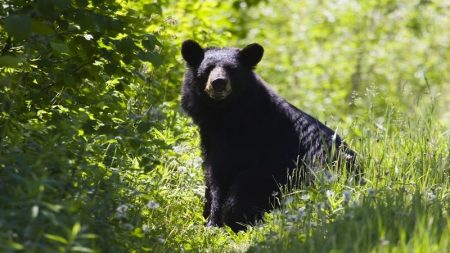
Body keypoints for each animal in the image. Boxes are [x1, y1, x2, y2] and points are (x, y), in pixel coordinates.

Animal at [179, 39, 356, 231]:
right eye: (207, 69)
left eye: (232, 70)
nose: (218, 82)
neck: (226, 116)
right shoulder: (211, 139)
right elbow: (213, 179)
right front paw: (210, 221)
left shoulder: (258, 146)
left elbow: (234, 180)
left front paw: (224, 221)